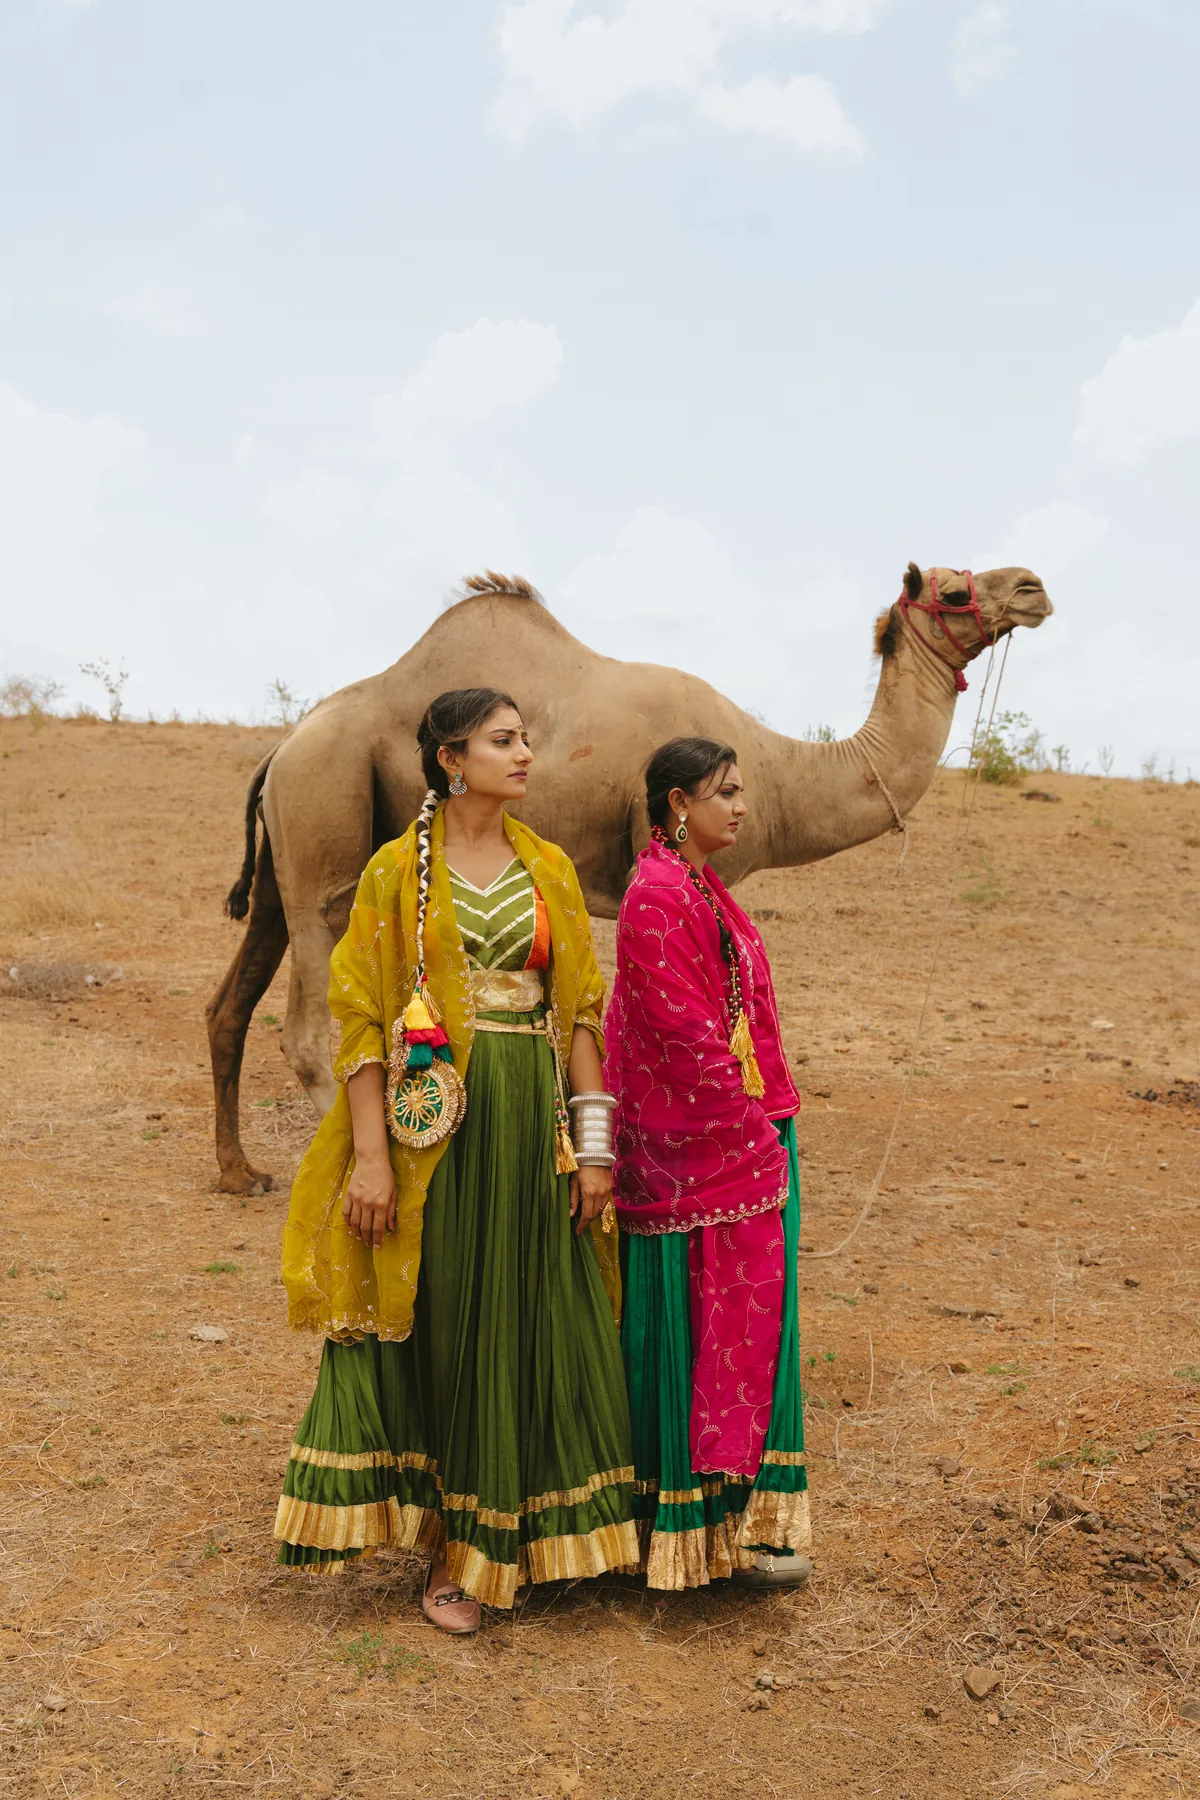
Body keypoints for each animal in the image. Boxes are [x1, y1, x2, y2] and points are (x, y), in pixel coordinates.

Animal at [206, 562, 1051, 1192]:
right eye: (953, 589)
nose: (1033, 587)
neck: (778, 775)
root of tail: (282, 748)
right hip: (324, 829)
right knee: (310, 1025)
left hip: (286, 862)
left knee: (229, 1005)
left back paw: (240, 1173)